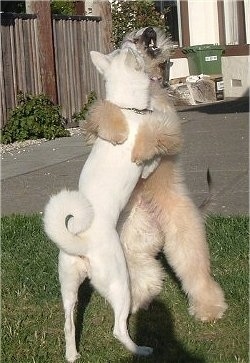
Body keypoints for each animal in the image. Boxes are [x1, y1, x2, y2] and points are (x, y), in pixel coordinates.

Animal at [43, 49, 181, 363]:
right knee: (118, 328)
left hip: (68, 286)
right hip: (120, 283)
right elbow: (152, 158)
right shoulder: (145, 163)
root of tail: (82, 242)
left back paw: (72, 354)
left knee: (69, 323)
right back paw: (140, 349)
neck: (127, 108)